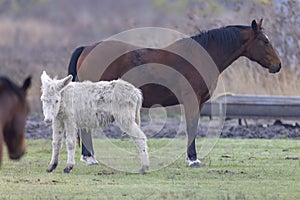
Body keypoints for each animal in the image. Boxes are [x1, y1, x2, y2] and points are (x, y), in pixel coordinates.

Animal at [67, 19, 282, 167]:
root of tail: (87, 48)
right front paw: (193, 160)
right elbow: (191, 127)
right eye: (264, 41)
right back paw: (89, 158)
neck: (199, 57)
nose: (278, 65)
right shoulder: (191, 101)